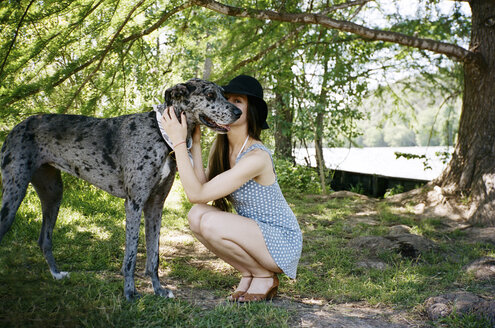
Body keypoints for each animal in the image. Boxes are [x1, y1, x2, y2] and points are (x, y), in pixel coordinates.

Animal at [0, 77, 241, 300]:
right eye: (210, 95)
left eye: (223, 93)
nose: (238, 112)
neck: (161, 134)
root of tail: (16, 127)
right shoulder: (134, 203)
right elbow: (131, 254)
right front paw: (130, 293)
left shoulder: (155, 205)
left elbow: (154, 256)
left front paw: (159, 290)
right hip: (14, 192)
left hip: (53, 193)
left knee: (44, 239)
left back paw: (56, 274)